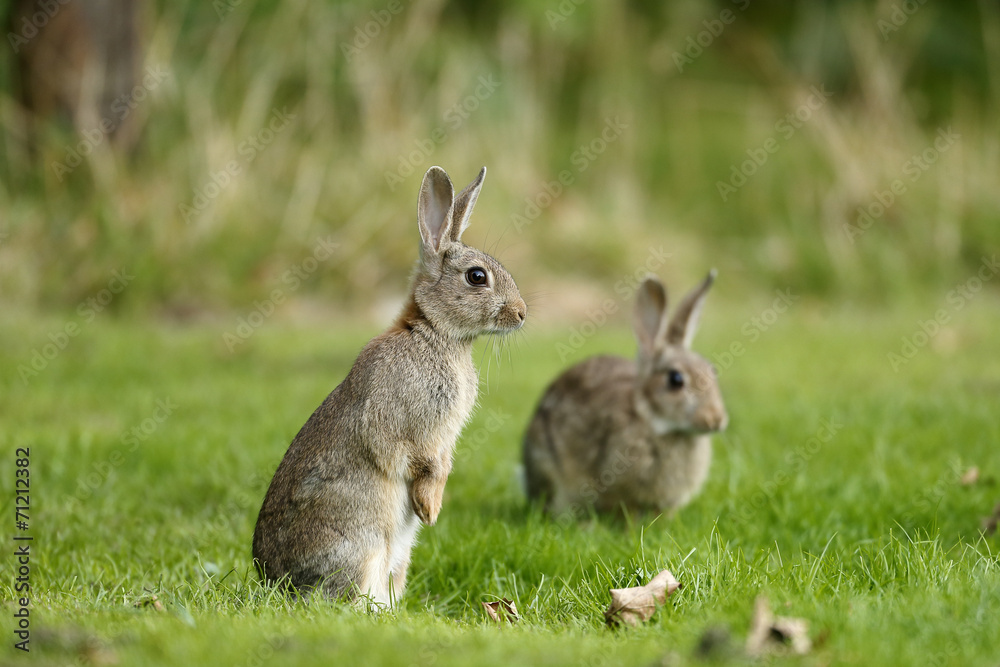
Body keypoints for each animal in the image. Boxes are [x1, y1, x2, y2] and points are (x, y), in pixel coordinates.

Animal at [253, 166, 526, 607]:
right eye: (476, 277)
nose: (521, 314)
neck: (434, 333)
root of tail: (275, 581)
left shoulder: (443, 439)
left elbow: (441, 463)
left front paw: (430, 511)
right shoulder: (402, 426)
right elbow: (414, 460)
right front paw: (430, 510)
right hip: (363, 546)